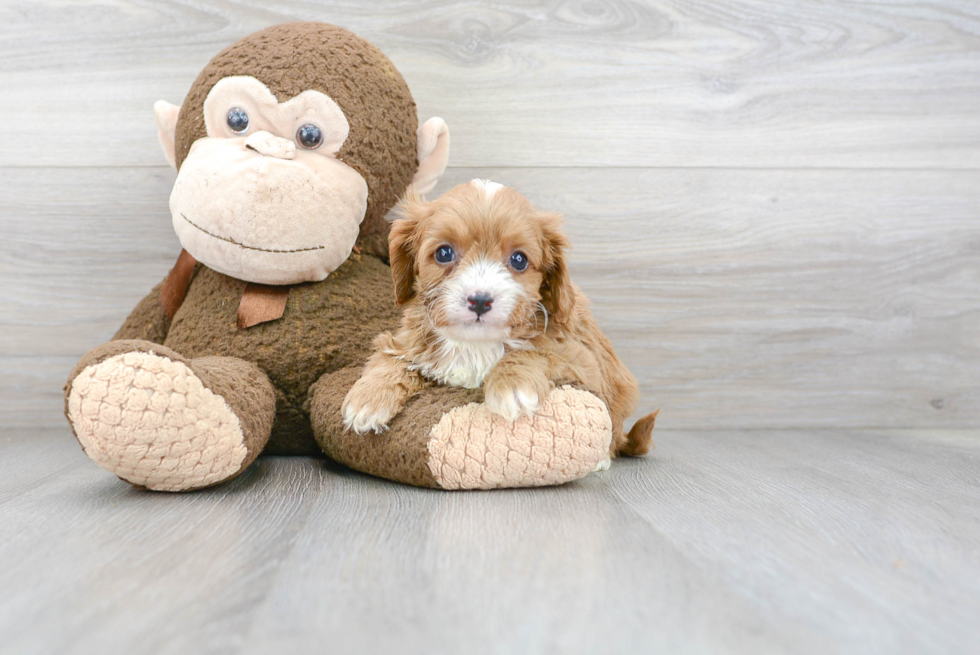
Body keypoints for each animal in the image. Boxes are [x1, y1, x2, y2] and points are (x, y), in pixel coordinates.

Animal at [344, 177, 660, 458]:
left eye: (519, 260)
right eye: (444, 253)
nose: (480, 300)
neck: (475, 343)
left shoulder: (581, 360)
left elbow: (534, 352)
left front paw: (512, 386)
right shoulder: (407, 339)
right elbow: (392, 357)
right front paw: (368, 399)